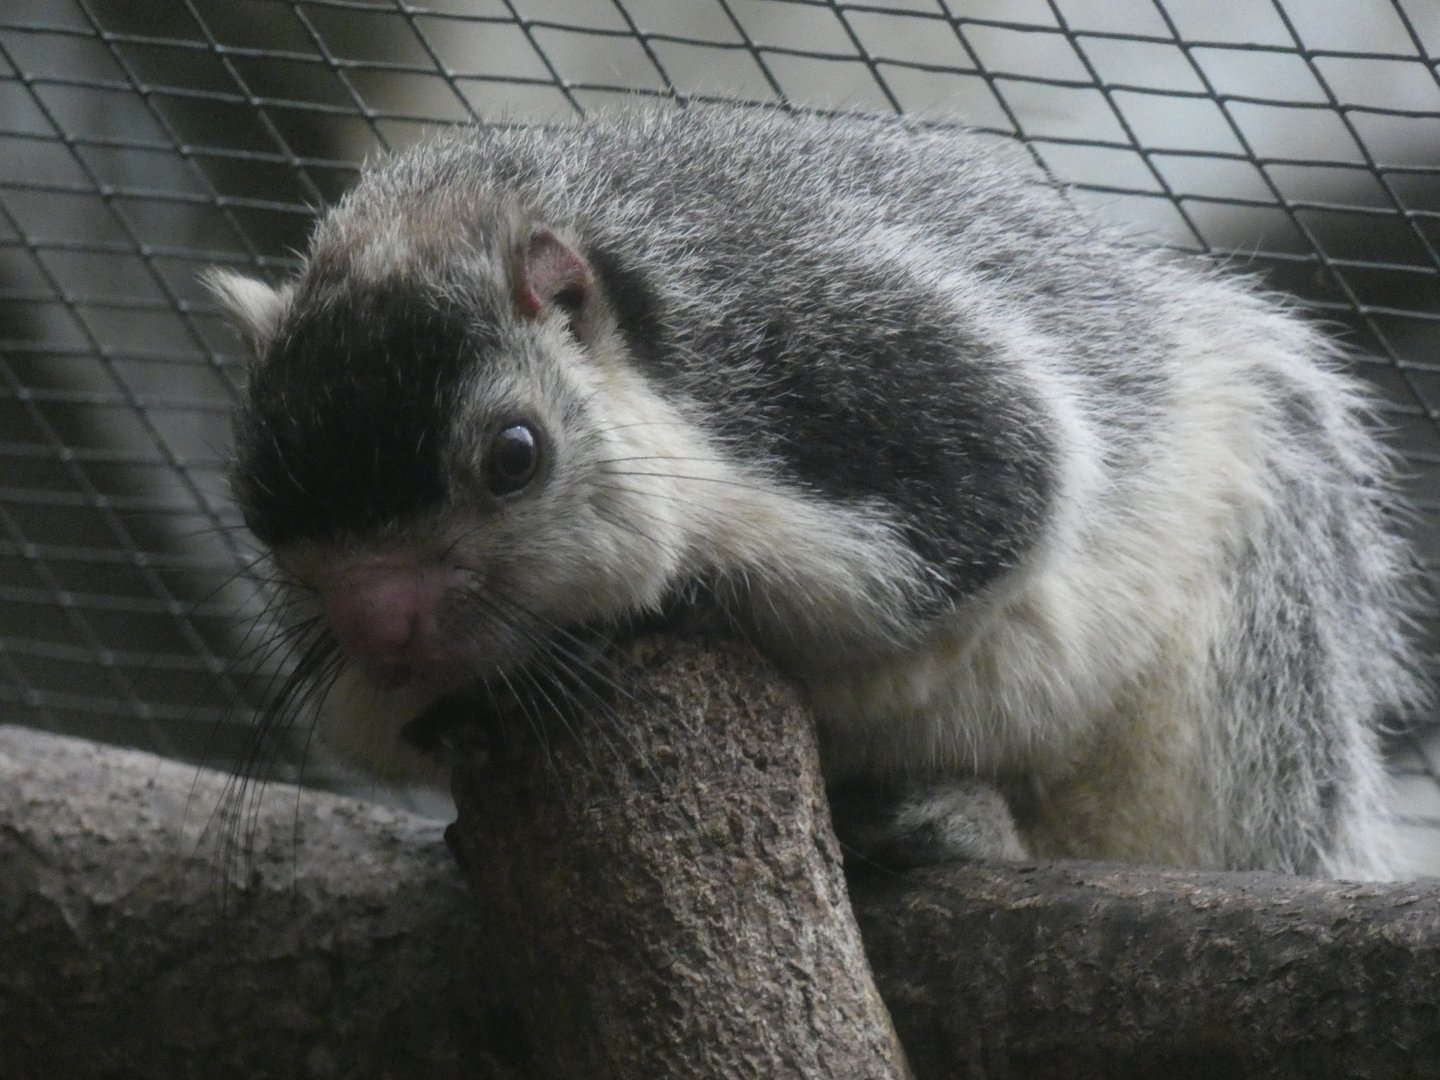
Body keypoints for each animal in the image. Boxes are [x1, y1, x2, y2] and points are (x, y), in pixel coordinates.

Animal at [206, 105, 1426, 879]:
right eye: (254, 500)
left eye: (515, 454)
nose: (380, 623)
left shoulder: (870, 365)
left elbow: (980, 518)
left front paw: (667, 599)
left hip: (1246, 656)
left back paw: (968, 822)